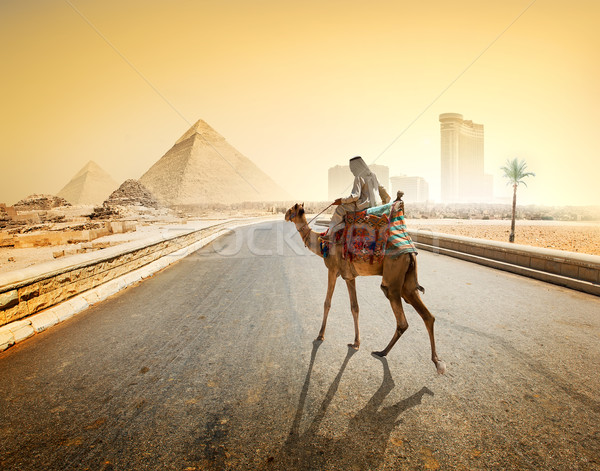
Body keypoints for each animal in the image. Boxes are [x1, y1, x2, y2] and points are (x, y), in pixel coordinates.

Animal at [286, 197, 446, 374]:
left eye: (291, 209)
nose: (285, 215)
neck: (322, 244)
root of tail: (410, 250)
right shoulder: (349, 276)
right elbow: (354, 307)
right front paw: (356, 342)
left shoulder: (332, 270)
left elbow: (327, 303)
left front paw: (320, 335)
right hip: (408, 283)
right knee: (427, 316)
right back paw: (436, 361)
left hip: (393, 277)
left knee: (401, 317)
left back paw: (382, 352)